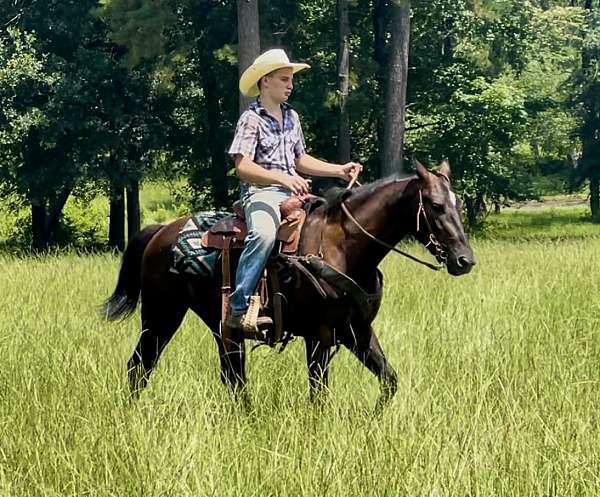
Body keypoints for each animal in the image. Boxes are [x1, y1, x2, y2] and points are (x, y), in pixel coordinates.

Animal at [104, 161, 478, 404]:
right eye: (435, 205)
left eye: (458, 204)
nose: (464, 260)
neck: (344, 247)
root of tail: (160, 231)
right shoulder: (320, 335)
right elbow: (318, 395)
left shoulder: (357, 331)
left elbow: (389, 382)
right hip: (160, 316)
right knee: (140, 366)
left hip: (220, 328)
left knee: (232, 378)